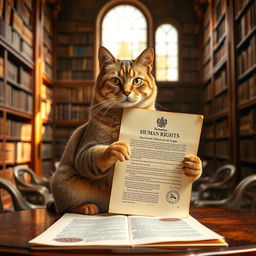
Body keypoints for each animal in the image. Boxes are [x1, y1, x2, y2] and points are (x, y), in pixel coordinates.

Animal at [50, 46, 202, 214]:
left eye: (137, 81)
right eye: (115, 80)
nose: (127, 92)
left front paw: (194, 165)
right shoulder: (86, 149)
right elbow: (98, 153)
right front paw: (115, 148)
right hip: (65, 183)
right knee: (63, 208)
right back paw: (86, 207)